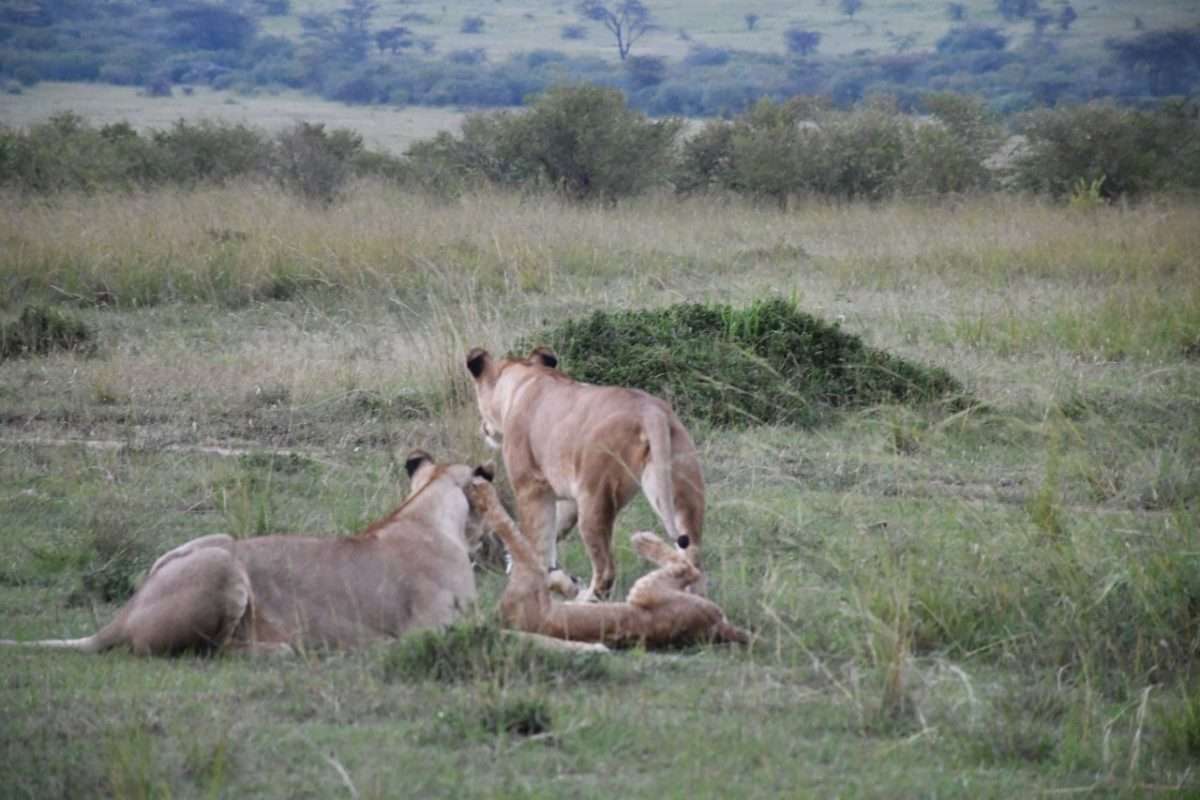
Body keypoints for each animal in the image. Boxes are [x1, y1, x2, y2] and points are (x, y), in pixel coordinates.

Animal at [1, 451, 494, 656]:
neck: (424, 509)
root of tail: (123, 614)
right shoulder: (429, 627)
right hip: (222, 568)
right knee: (207, 653)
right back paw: (288, 649)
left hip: (209, 541)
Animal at [465, 345, 706, 602]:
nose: (483, 428)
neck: (526, 378)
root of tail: (649, 410)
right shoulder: (568, 497)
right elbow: (553, 534)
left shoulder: (530, 486)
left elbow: (536, 542)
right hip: (679, 486)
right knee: (693, 557)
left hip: (595, 495)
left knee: (606, 570)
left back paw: (583, 600)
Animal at [466, 477, 747, 648]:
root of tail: (717, 628)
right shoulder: (528, 566)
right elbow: (508, 527)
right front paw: (482, 490)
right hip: (645, 592)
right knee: (687, 569)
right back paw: (643, 540)